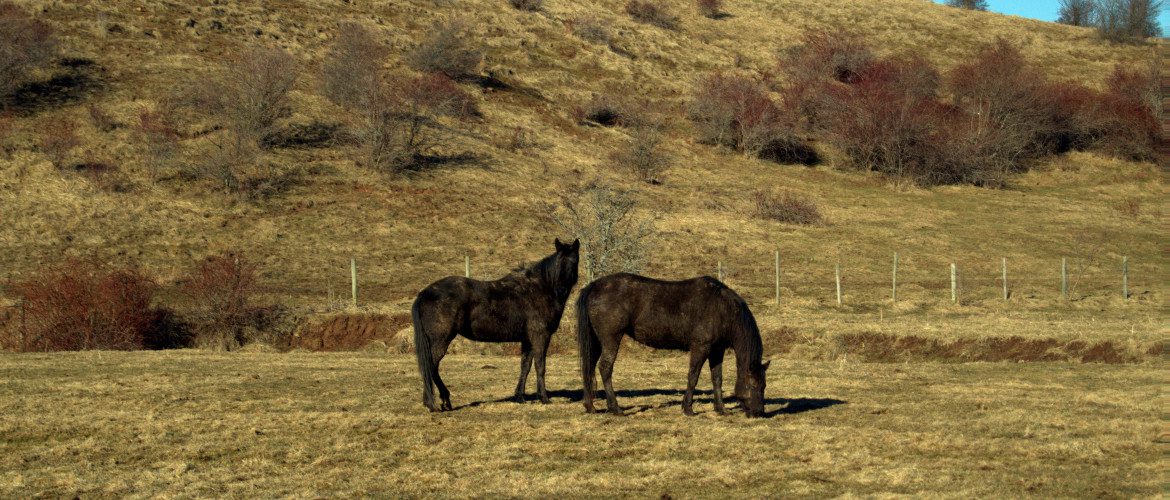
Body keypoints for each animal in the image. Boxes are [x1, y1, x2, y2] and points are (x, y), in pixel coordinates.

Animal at [412, 238, 579, 412]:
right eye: (559, 261)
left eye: (574, 261)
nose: (561, 289)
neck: (540, 289)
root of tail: (424, 293)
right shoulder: (540, 336)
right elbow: (540, 366)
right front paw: (544, 398)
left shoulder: (527, 340)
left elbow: (525, 366)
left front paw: (520, 397)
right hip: (441, 340)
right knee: (430, 366)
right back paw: (434, 403)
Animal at [576, 273, 770, 417]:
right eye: (753, 386)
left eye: (764, 386)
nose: (759, 412)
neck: (723, 309)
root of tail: (594, 286)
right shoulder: (701, 347)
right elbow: (693, 376)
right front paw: (688, 409)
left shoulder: (717, 350)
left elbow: (717, 378)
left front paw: (720, 409)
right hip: (611, 339)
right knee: (605, 367)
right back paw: (615, 408)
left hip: (596, 341)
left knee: (589, 366)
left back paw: (590, 406)